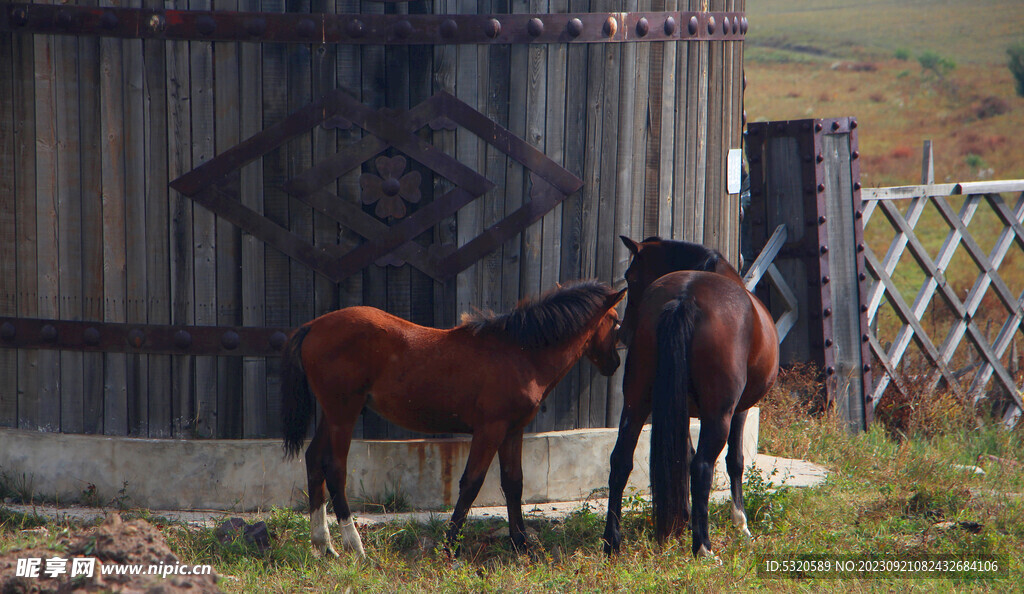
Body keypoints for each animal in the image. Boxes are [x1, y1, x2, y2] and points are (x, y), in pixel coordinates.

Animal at [280, 280, 622, 553]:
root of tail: (312, 326)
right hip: (343, 413)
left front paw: (522, 545)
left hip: (332, 413)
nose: (615, 364)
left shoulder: (513, 431)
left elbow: (514, 483)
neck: (519, 352)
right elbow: (471, 483)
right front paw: (448, 546)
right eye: (617, 321)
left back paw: (323, 547)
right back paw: (354, 546)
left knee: (314, 460)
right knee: (335, 468)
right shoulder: (490, 429)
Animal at [598, 236, 774, 557]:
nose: (623, 334)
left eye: (630, 277)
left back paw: (612, 541)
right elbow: (734, 460)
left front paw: (683, 520)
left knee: (620, 460)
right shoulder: (738, 410)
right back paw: (703, 547)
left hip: (636, 402)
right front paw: (741, 525)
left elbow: (681, 456)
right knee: (703, 467)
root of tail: (684, 298)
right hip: (719, 415)